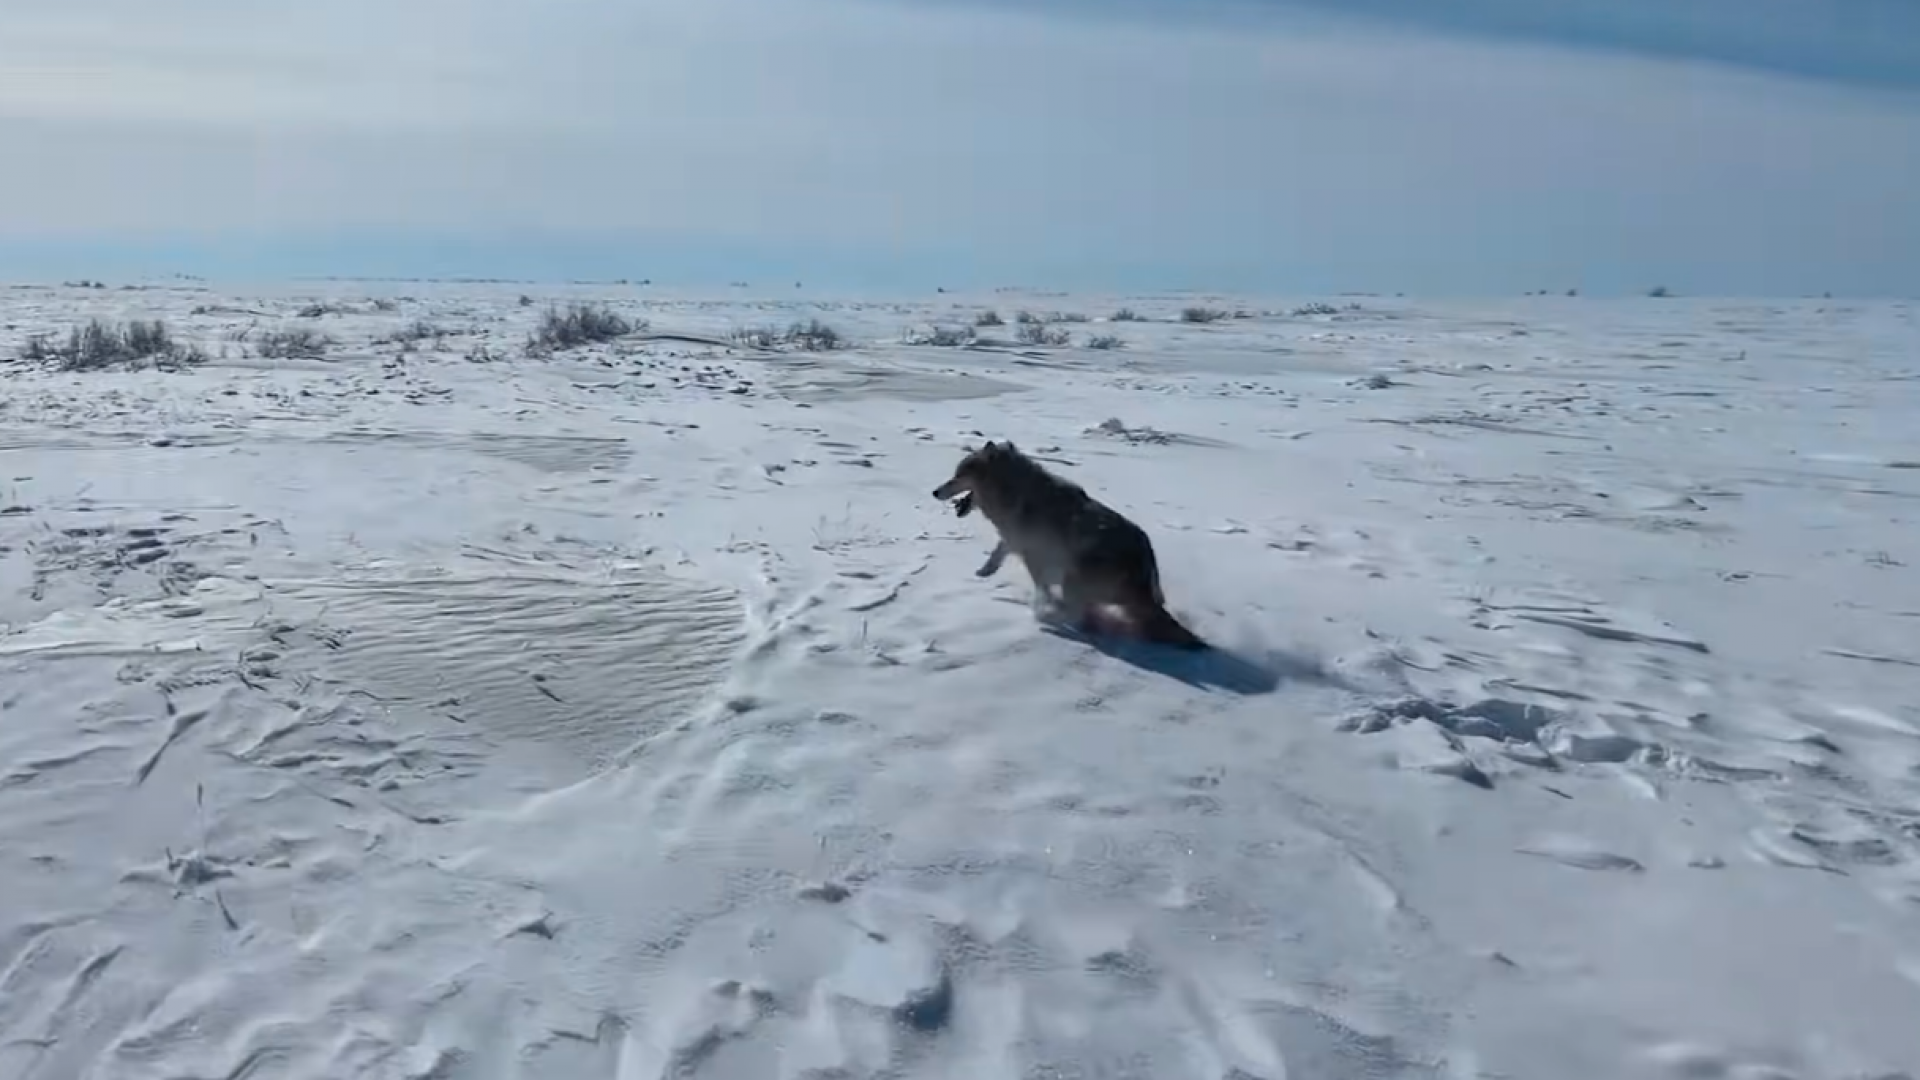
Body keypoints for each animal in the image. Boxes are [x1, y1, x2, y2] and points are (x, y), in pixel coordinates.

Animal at [929, 440, 1198, 645]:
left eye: (958, 476)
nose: (935, 492)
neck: (1014, 492)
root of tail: (1144, 568)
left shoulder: (1035, 554)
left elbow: (1041, 587)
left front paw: (1041, 608)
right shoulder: (1019, 541)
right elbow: (1001, 548)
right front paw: (986, 570)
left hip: (1072, 579)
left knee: (1081, 615)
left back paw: (1050, 622)